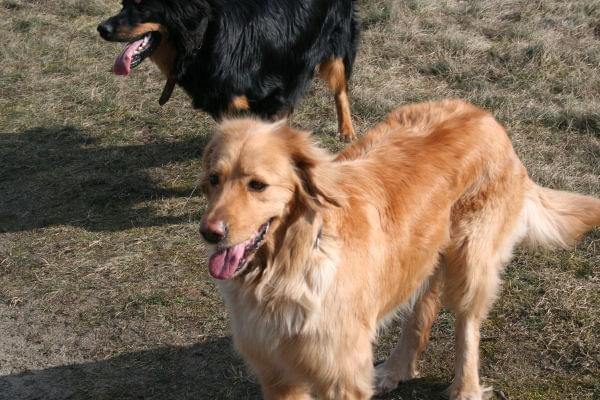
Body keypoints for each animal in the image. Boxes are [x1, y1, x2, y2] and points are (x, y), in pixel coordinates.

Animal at [98, 0, 358, 139]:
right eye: (123, 4)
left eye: (142, 6)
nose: (101, 28)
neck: (204, 39)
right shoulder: (225, 106)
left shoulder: (274, 98)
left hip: (337, 44)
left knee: (341, 90)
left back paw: (346, 129)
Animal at [198, 99, 600, 396]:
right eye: (214, 179)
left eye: (257, 185)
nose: (209, 233)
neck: (289, 265)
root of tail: (486, 116)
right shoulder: (277, 373)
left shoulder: (339, 374)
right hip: (424, 251)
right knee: (424, 307)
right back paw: (395, 369)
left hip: (471, 259)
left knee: (467, 324)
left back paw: (465, 388)